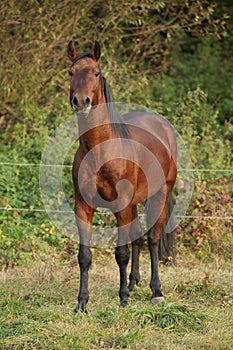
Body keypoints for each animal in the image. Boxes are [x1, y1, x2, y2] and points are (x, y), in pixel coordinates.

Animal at [67, 40, 177, 312]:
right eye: (70, 73)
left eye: (96, 73)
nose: (81, 102)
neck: (100, 151)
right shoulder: (83, 207)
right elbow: (84, 256)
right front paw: (82, 302)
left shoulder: (121, 207)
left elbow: (121, 253)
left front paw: (123, 299)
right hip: (135, 203)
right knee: (137, 237)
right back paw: (133, 282)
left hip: (160, 194)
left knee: (152, 239)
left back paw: (155, 291)